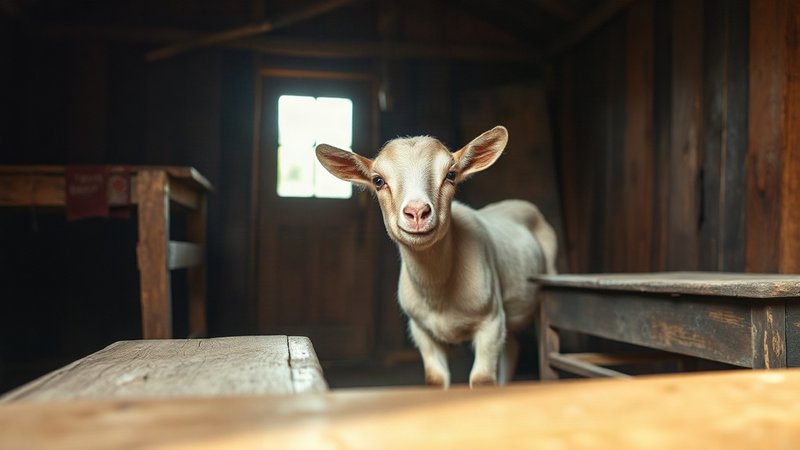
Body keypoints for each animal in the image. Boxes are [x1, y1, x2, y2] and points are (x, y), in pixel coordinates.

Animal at [316, 126, 557, 388]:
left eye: (451, 174)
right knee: (511, 347)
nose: (417, 212)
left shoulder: (491, 322)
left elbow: (482, 380)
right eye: (378, 180)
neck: (438, 292)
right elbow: (435, 379)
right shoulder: (421, 329)